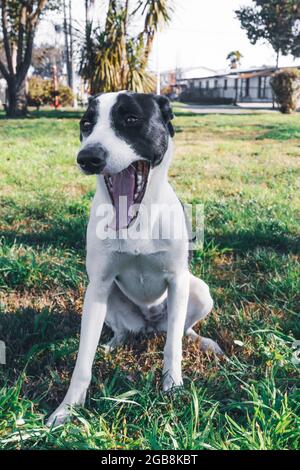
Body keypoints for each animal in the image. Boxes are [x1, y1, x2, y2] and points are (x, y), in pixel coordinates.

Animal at [47, 92, 223, 426]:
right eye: (86, 124)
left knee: (181, 330)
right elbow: (83, 359)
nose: (88, 158)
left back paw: (203, 342)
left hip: (199, 291)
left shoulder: (178, 281)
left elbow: (172, 347)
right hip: (107, 299)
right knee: (124, 331)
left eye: (131, 119)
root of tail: (151, 326)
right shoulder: (99, 285)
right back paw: (112, 345)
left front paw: (173, 387)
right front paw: (67, 409)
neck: (137, 220)